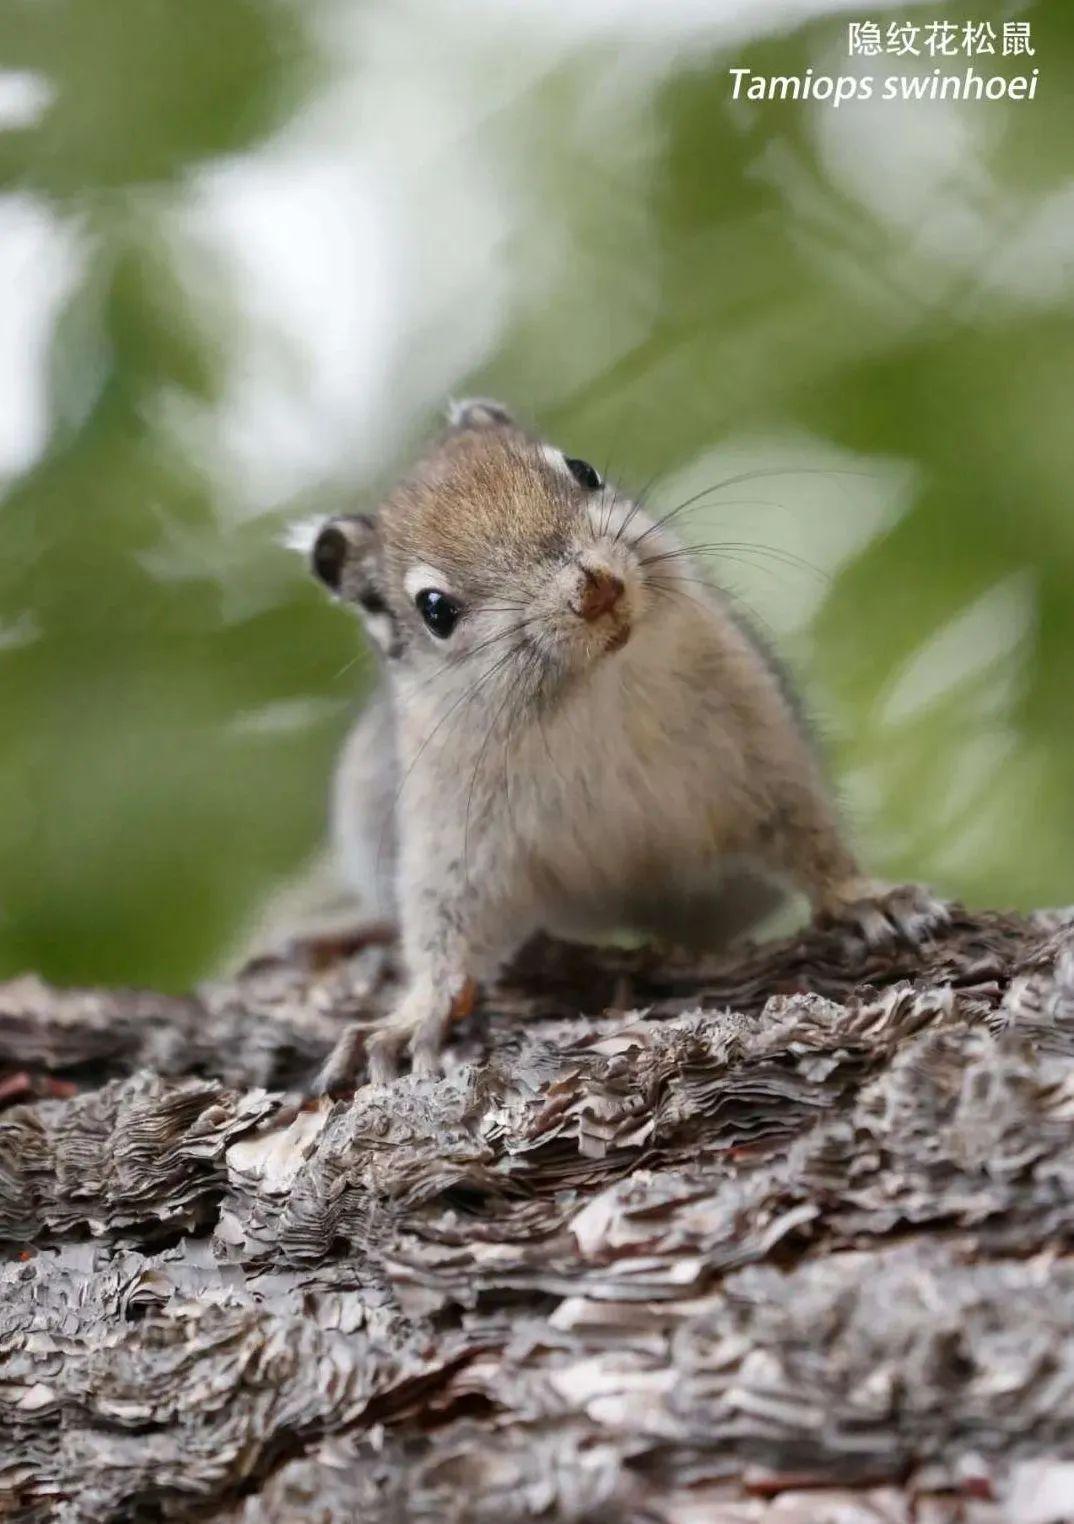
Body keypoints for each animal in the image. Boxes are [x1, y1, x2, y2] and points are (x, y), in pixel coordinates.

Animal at [306, 399, 944, 1091]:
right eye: (434, 610)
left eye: (583, 470)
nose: (593, 588)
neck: (593, 693)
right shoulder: (451, 828)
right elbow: (445, 926)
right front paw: (415, 1013)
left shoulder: (761, 744)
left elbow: (807, 832)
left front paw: (862, 898)